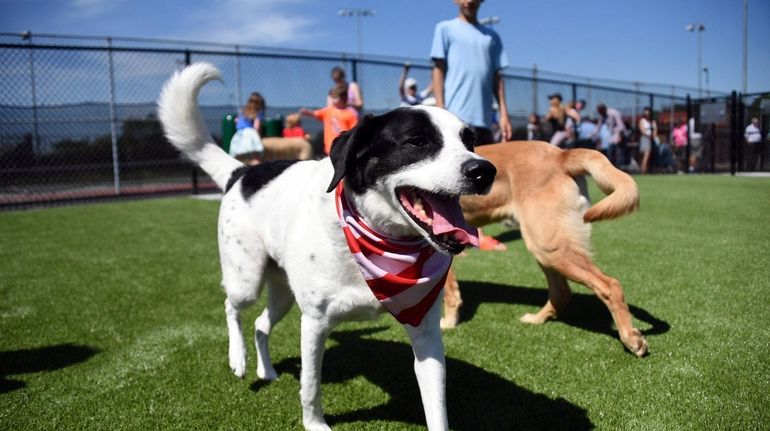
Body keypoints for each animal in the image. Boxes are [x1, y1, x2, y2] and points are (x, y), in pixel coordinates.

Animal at [158, 64, 492, 431]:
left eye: (469, 141)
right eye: (417, 142)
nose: (484, 170)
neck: (376, 241)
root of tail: (242, 172)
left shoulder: (426, 331)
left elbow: (436, 406)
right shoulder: (314, 323)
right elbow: (310, 385)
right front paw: (315, 424)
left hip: (283, 293)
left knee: (260, 324)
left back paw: (267, 370)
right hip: (246, 278)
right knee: (232, 307)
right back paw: (239, 358)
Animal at [438, 142, 648, 358]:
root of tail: (561, 154)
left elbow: (450, 295)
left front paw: (449, 323)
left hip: (548, 247)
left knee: (610, 285)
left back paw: (630, 339)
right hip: (546, 247)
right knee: (561, 293)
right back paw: (537, 319)